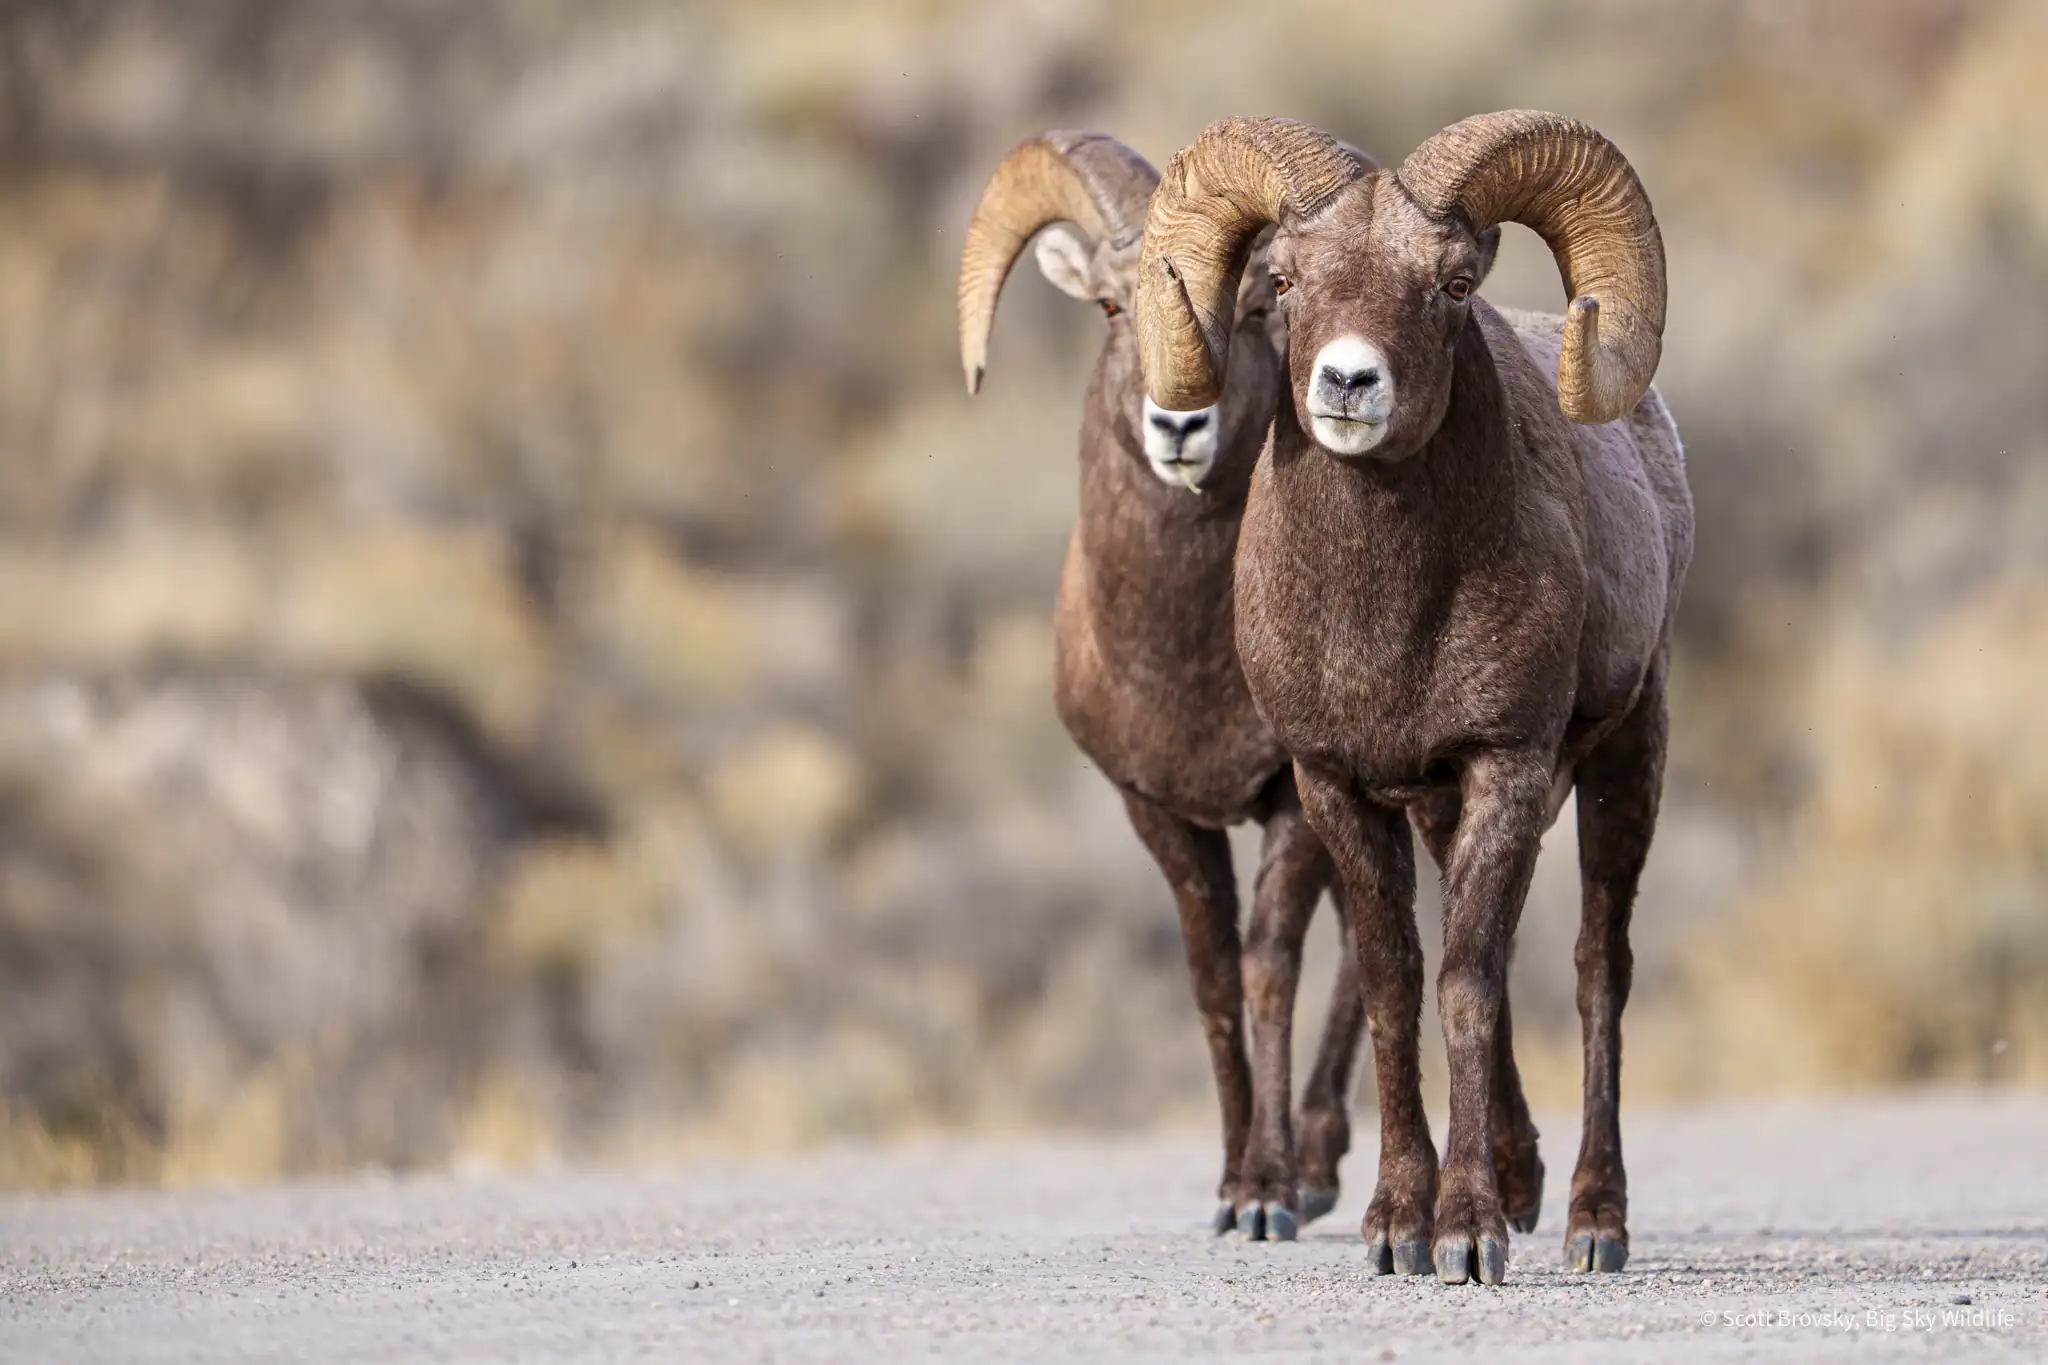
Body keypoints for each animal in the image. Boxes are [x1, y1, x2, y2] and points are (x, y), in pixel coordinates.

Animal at [957, 131, 1371, 1240]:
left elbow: (1270, 965)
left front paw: (1271, 1194)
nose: (1177, 425)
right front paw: (1230, 1187)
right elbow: (1213, 978)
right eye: (1109, 306)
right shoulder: (1155, 808)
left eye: (1258, 306)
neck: (1185, 666)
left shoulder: (1291, 798)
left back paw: (1321, 1161)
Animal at [1133, 111, 1691, 1285]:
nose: (1348, 384)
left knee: (1596, 969)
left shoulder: (1503, 766)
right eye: (1283, 280)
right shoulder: (1339, 786)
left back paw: (1590, 1221)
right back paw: (1526, 1184)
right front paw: (1399, 1225)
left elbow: (1467, 983)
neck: (1383, 623)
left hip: (1626, 760)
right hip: (1441, 813)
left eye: (1450, 283)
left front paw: (1468, 1233)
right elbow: (1396, 982)